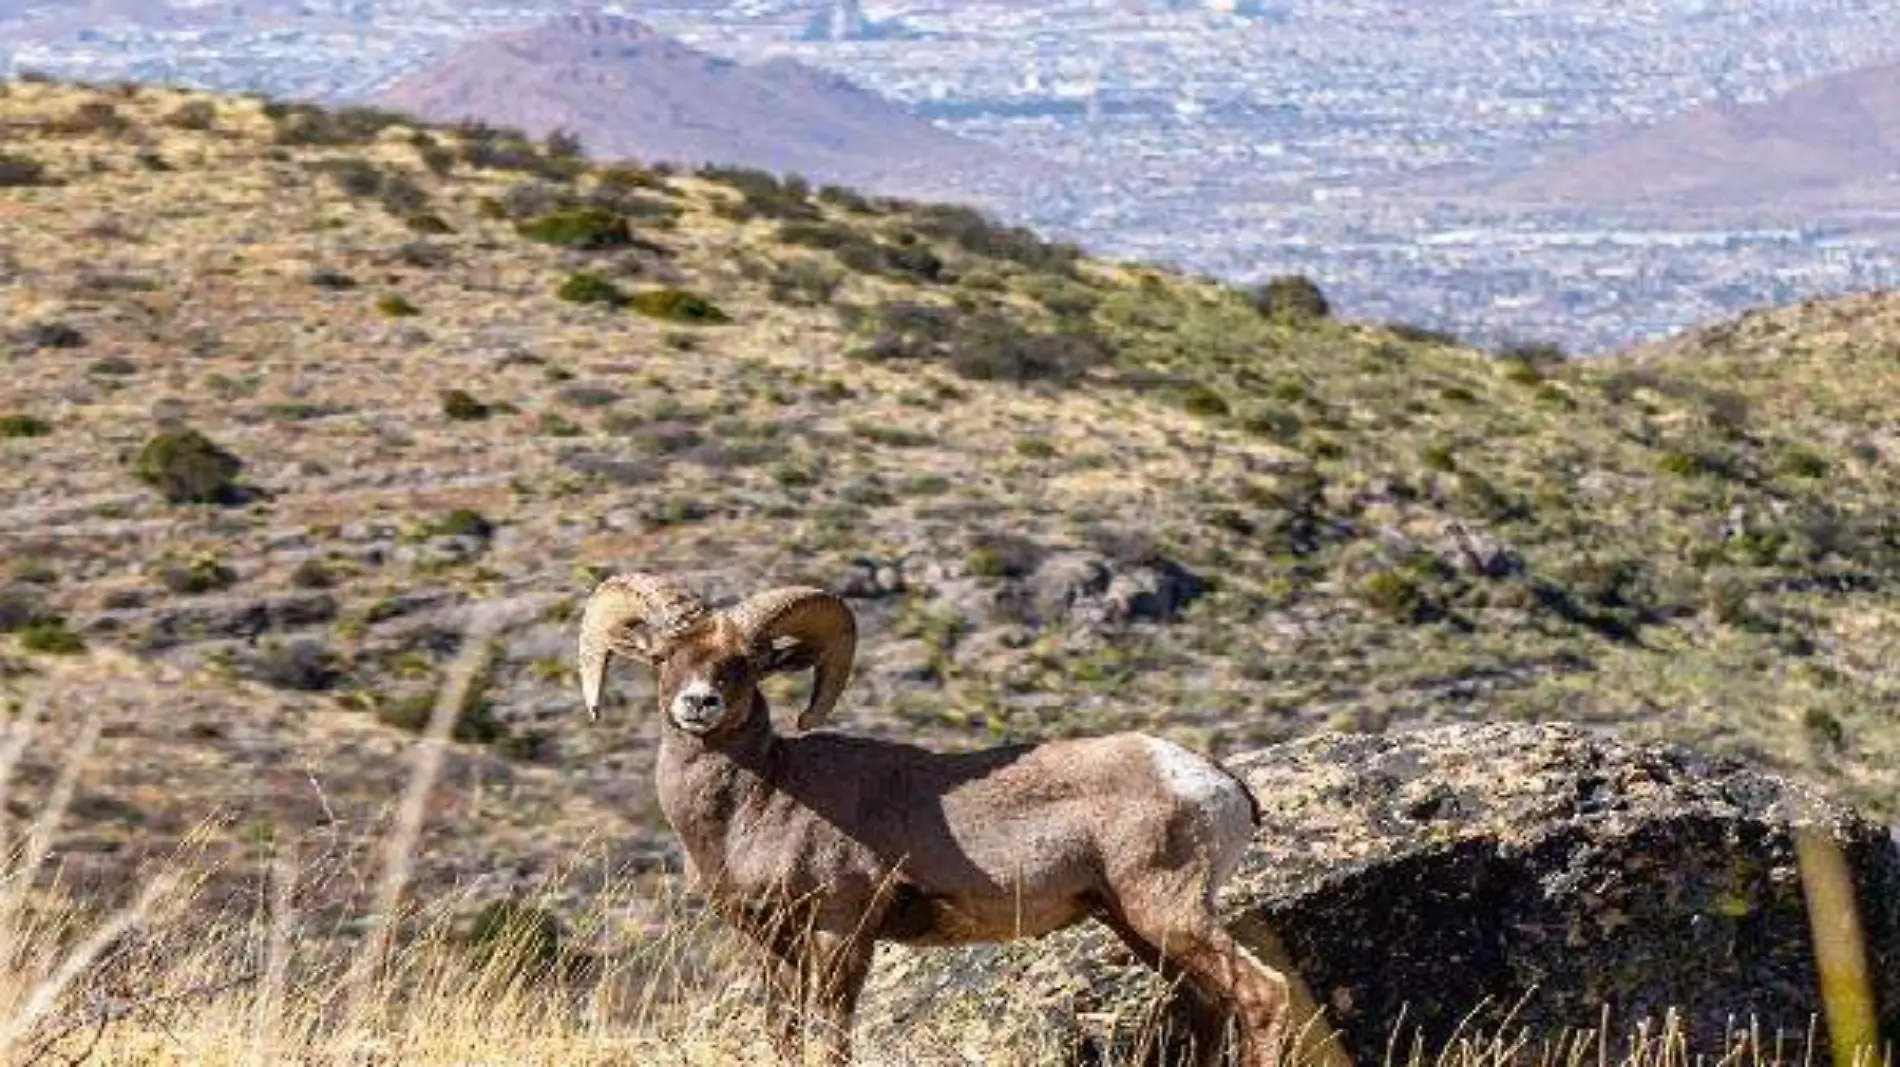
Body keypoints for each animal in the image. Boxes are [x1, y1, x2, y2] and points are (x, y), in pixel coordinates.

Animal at [577, 573, 1292, 1063]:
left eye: (746, 665)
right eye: (663, 658)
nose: (699, 704)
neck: (758, 803)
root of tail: (1219, 784)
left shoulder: (840, 931)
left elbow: (831, 1037)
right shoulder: (768, 942)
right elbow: (784, 1033)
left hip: (1167, 911)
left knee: (1263, 998)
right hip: (1135, 924)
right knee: (1208, 1007)